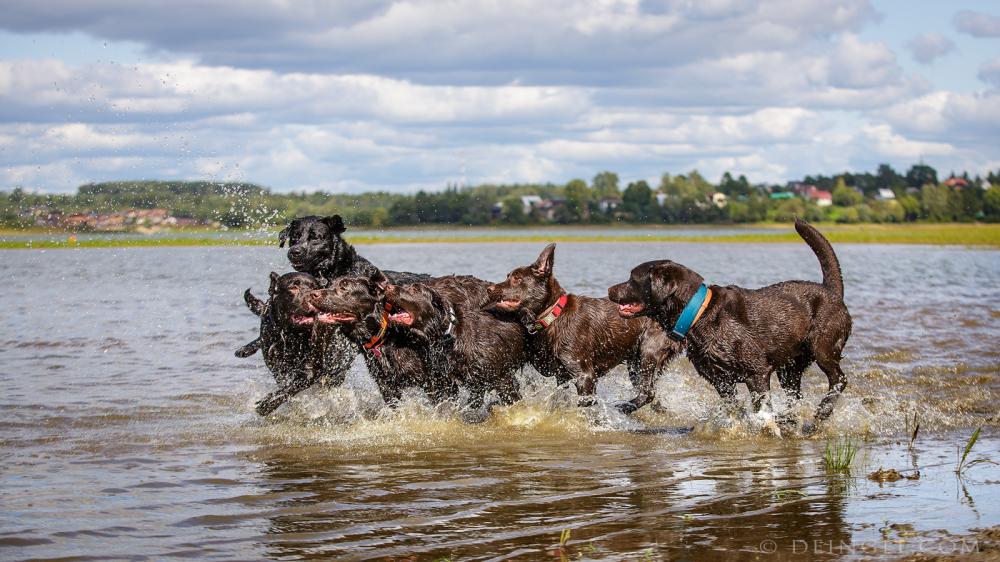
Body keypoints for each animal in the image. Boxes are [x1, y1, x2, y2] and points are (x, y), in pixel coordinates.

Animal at [484, 242, 680, 412]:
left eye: (516, 278)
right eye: (507, 276)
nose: (489, 289)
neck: (553, 315)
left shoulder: (584, 376)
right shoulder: (561, 375)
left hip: (648, 352)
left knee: (648, 392)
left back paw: (625, 408)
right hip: (635, 363)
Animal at [608, 219, 852, 428]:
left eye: (632, 279)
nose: (610, 290)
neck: (699, 314)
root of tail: (831, 291)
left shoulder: (757, 372)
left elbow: (761, 405)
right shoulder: (720, 380)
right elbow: (735, 406)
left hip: (823, 347)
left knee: (839, 378)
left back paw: (823, 410)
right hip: (789, 368)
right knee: (795, 394)